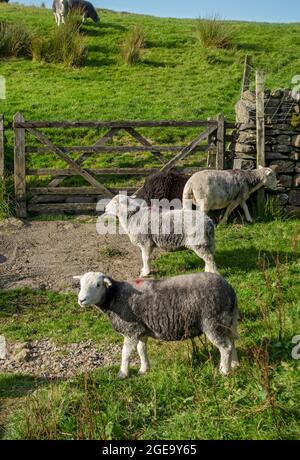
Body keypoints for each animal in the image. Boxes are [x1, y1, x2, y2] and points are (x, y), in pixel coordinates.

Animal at [74, 272, 240, 376]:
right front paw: (144, 369)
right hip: (227, 320)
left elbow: (125, 353)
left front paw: (122, 374)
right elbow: (141, 350)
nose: (81, 300)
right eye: (80, 285)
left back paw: (224, 371)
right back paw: (235, 364)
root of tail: (230, 290)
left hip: (212, 321)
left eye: (98, 285)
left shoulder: (131, 329)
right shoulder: (141, 329)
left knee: (225, 347)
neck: (115, 297)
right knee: (232, 342)